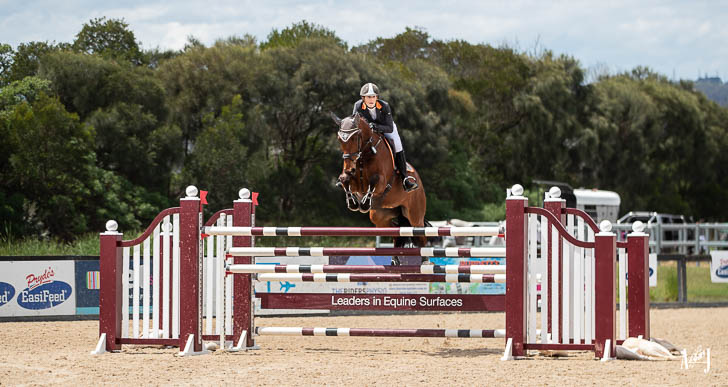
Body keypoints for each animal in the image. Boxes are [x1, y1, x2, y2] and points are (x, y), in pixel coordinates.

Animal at [330, 112, 426, 252]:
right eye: (339, 139)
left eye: (355, 137)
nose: (349, 168)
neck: (363, 155)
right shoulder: (355, 184)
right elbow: (344, 179)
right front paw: (353, 203)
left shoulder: (381, 183)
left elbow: (374, 180)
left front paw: (364, 204)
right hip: (380, 216)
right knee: (395, 232)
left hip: (415, 216)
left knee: (421, 236)